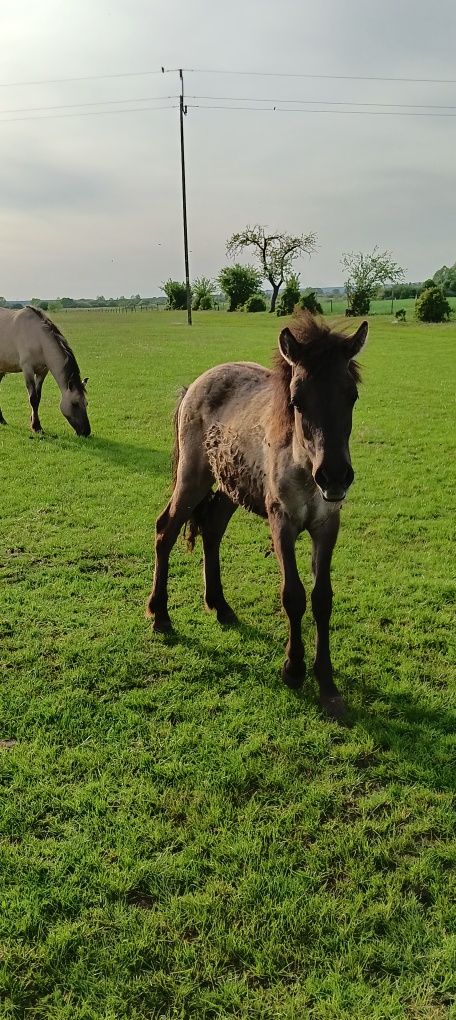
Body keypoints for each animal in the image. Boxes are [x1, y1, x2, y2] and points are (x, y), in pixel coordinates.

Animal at [0, 303, 90, 436]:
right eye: (75, 404)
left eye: (86, 403)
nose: (86, 431)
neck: (38, 338)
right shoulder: (28, 369)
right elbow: (33, 398)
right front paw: (36, 427)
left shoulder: (42, 372)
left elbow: (38, 398)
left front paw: (34, 422)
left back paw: (1, 419)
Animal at [147, 314, 369, 722]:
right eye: (297, 400)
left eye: (352, 396)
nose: (334, 476)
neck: (303, 464)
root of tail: (194, 385)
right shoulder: (281, 523)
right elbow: (293, 595)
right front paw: (293, 670)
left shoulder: (327, 525)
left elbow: (322, 598)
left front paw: (328, 685)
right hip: (193, 479)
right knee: (165, 531)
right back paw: (160, 615)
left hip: (228, 488)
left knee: (212, 531)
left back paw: (220, 607)